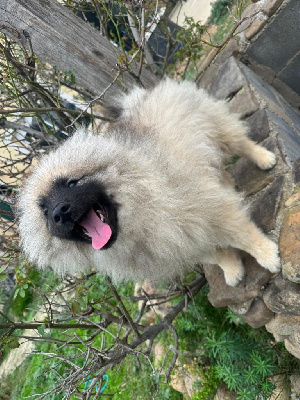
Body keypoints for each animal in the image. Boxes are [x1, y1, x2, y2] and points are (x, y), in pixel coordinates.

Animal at [17, 79, 280, 284]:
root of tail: (148, 92)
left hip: (220, 130)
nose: (59, 212)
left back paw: (264, 158)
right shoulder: (185, 243)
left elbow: (243, 235)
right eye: (44, 211)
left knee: (242, 143)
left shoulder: (212, 211)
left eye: (72, 184)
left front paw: (267, 255)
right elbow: (218, 254)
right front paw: (232, 269)